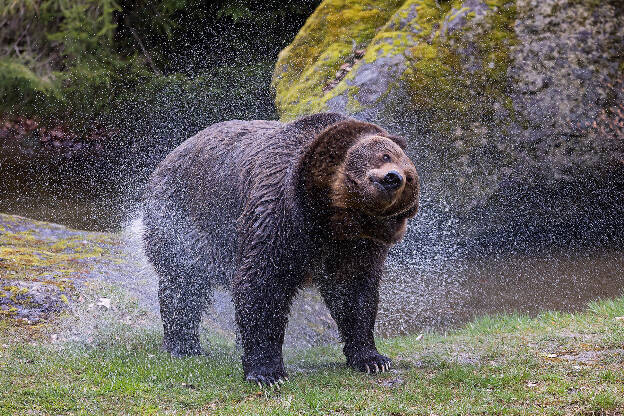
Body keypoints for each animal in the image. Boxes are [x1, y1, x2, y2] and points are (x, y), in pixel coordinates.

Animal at [143, 112, 420, 386]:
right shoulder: (279, 210)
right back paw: (183, 345)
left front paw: (372, 358)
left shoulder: (357, 244)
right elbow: (264, 281)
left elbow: (353, 291)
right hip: (181, 218)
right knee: (183, 283)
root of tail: (172, 153)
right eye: (385, 155)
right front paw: (267, 372)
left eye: (409, 177)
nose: (393, 178)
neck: (328, 215)